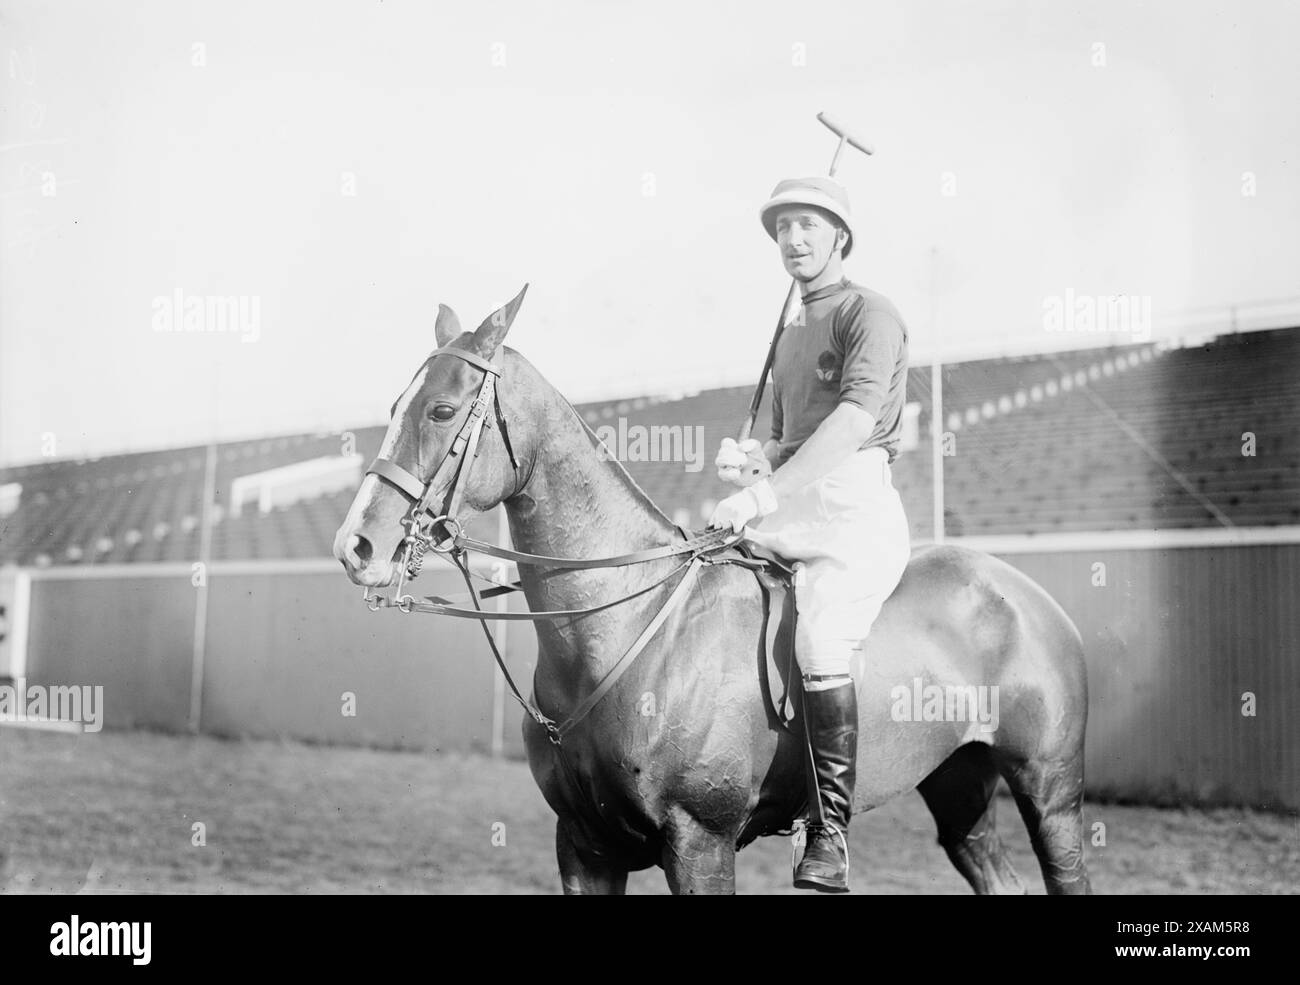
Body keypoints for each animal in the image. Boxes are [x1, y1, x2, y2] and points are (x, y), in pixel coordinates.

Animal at [332, 289, 1086, 899]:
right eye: (395, 406)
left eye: (442, 409)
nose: (355, 546)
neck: (624, 627)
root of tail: (1026, 592)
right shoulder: (583, 845)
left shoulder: (701, 841)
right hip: (959, 788)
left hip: (1050, 790)